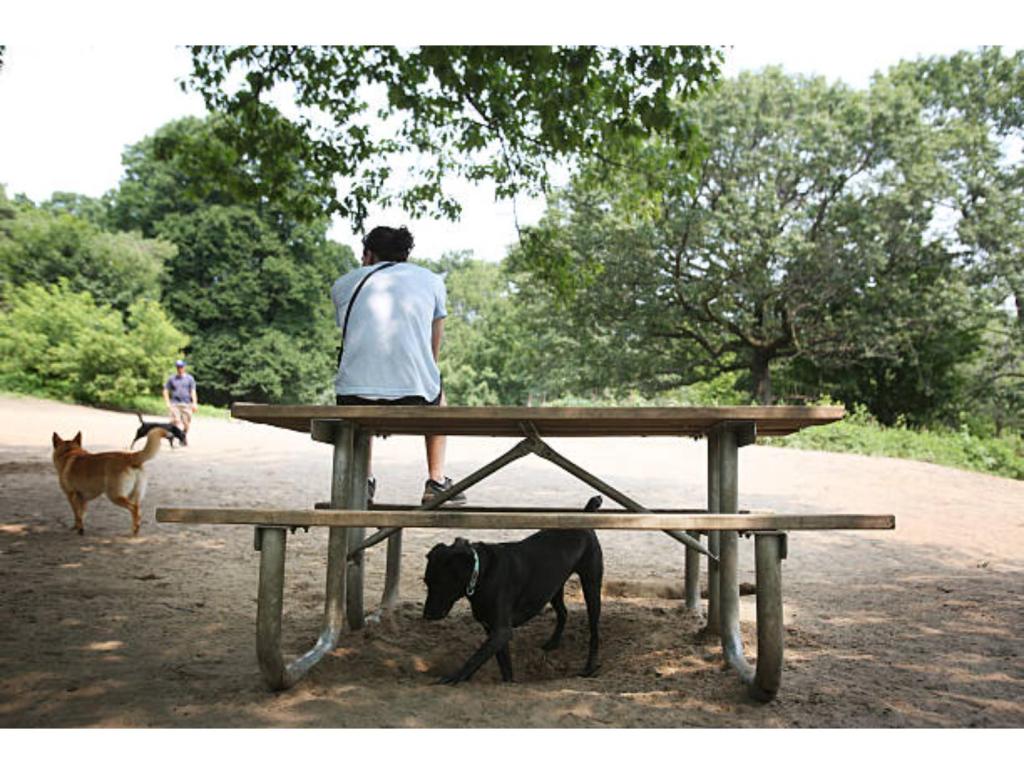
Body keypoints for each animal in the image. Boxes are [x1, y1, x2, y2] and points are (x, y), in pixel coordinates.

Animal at [421, 495, 602, 683]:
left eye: (441, 584)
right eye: (426, 582)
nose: (426, 615)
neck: (481, 572)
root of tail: (586, 513)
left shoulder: (501, 631)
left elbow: (476, 658)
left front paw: (455, 677)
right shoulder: (493, 630)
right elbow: (504, 665)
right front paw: (509, 681)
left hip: (591, 585)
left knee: (594, 633)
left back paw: (589, 668)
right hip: (553, 587)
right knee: (563, 612)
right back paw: (552, 643)